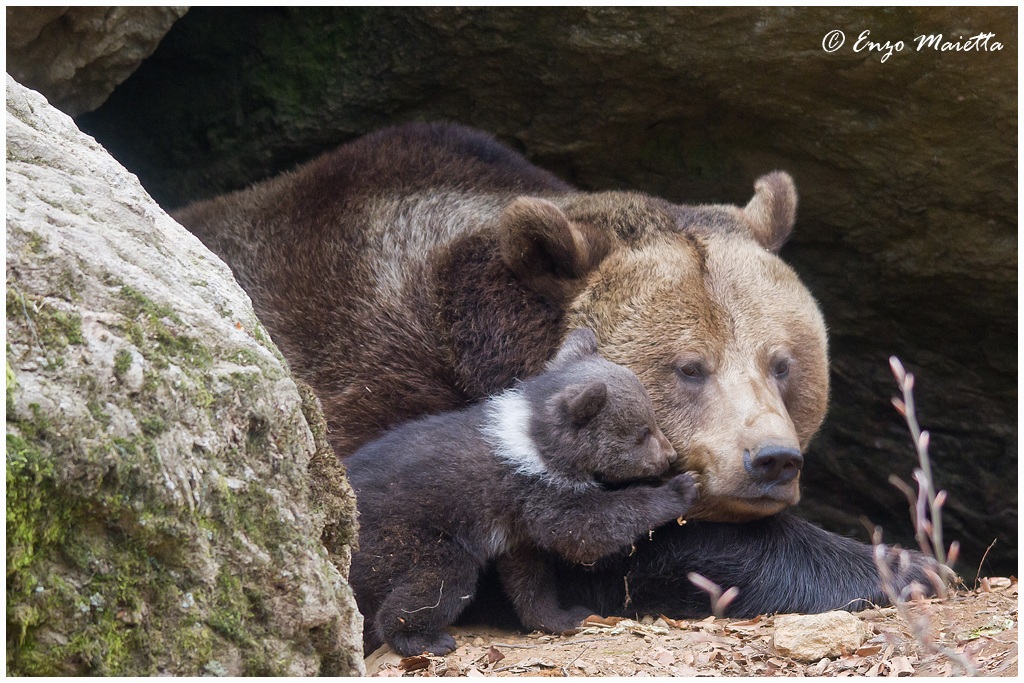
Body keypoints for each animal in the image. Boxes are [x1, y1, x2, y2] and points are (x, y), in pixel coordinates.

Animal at [347, 328, 696, 656]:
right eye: (643, 433)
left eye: (652, 421)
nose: (670, 456)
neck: (537, 441)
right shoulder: (535, 489)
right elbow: (587, 529)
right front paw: (680, 489)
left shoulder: (518, 527)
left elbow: (530, 576)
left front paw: (562, 616)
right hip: (403, 535)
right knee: (441, 578)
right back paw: (421, 638)